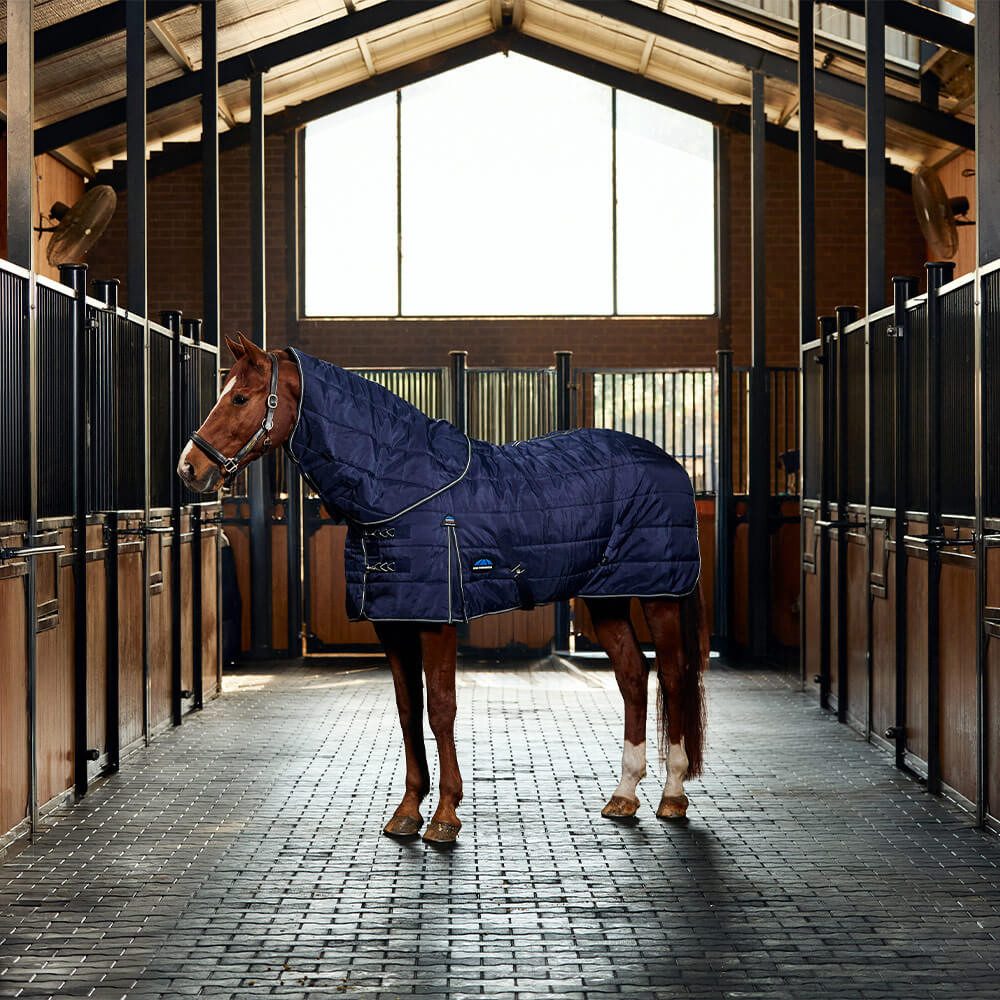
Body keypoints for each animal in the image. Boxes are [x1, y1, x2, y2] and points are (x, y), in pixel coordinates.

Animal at [178, 334, 707, 844]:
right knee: (633, 676)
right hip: (606, 598)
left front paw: (446, 816)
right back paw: (624, 795)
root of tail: (670, 464)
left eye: (240, 397)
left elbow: (441, 710)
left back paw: (673, 796)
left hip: (659, 596)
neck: (403, 487)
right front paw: (407, 812)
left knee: (673, 676)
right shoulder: (393, 623)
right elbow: (408, 710)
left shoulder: (438, 620)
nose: (189, 468)